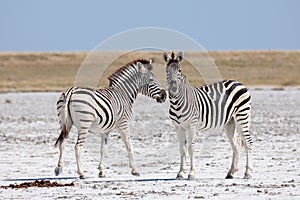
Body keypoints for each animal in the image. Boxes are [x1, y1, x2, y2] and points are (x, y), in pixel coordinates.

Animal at [163, 51, 252, 180]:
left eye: (179, 70)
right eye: (167, 70)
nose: (173, 89)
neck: (177, 102)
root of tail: (239, 83)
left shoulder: (192, 125)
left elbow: (191, 148)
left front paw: (191, 173)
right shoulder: (178, 127)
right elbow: (182, 149)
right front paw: (180, 173)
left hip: (243, 115)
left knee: (248, 141)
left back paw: (248, 172)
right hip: (230, 122)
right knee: (236, 144)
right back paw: (231, 172)